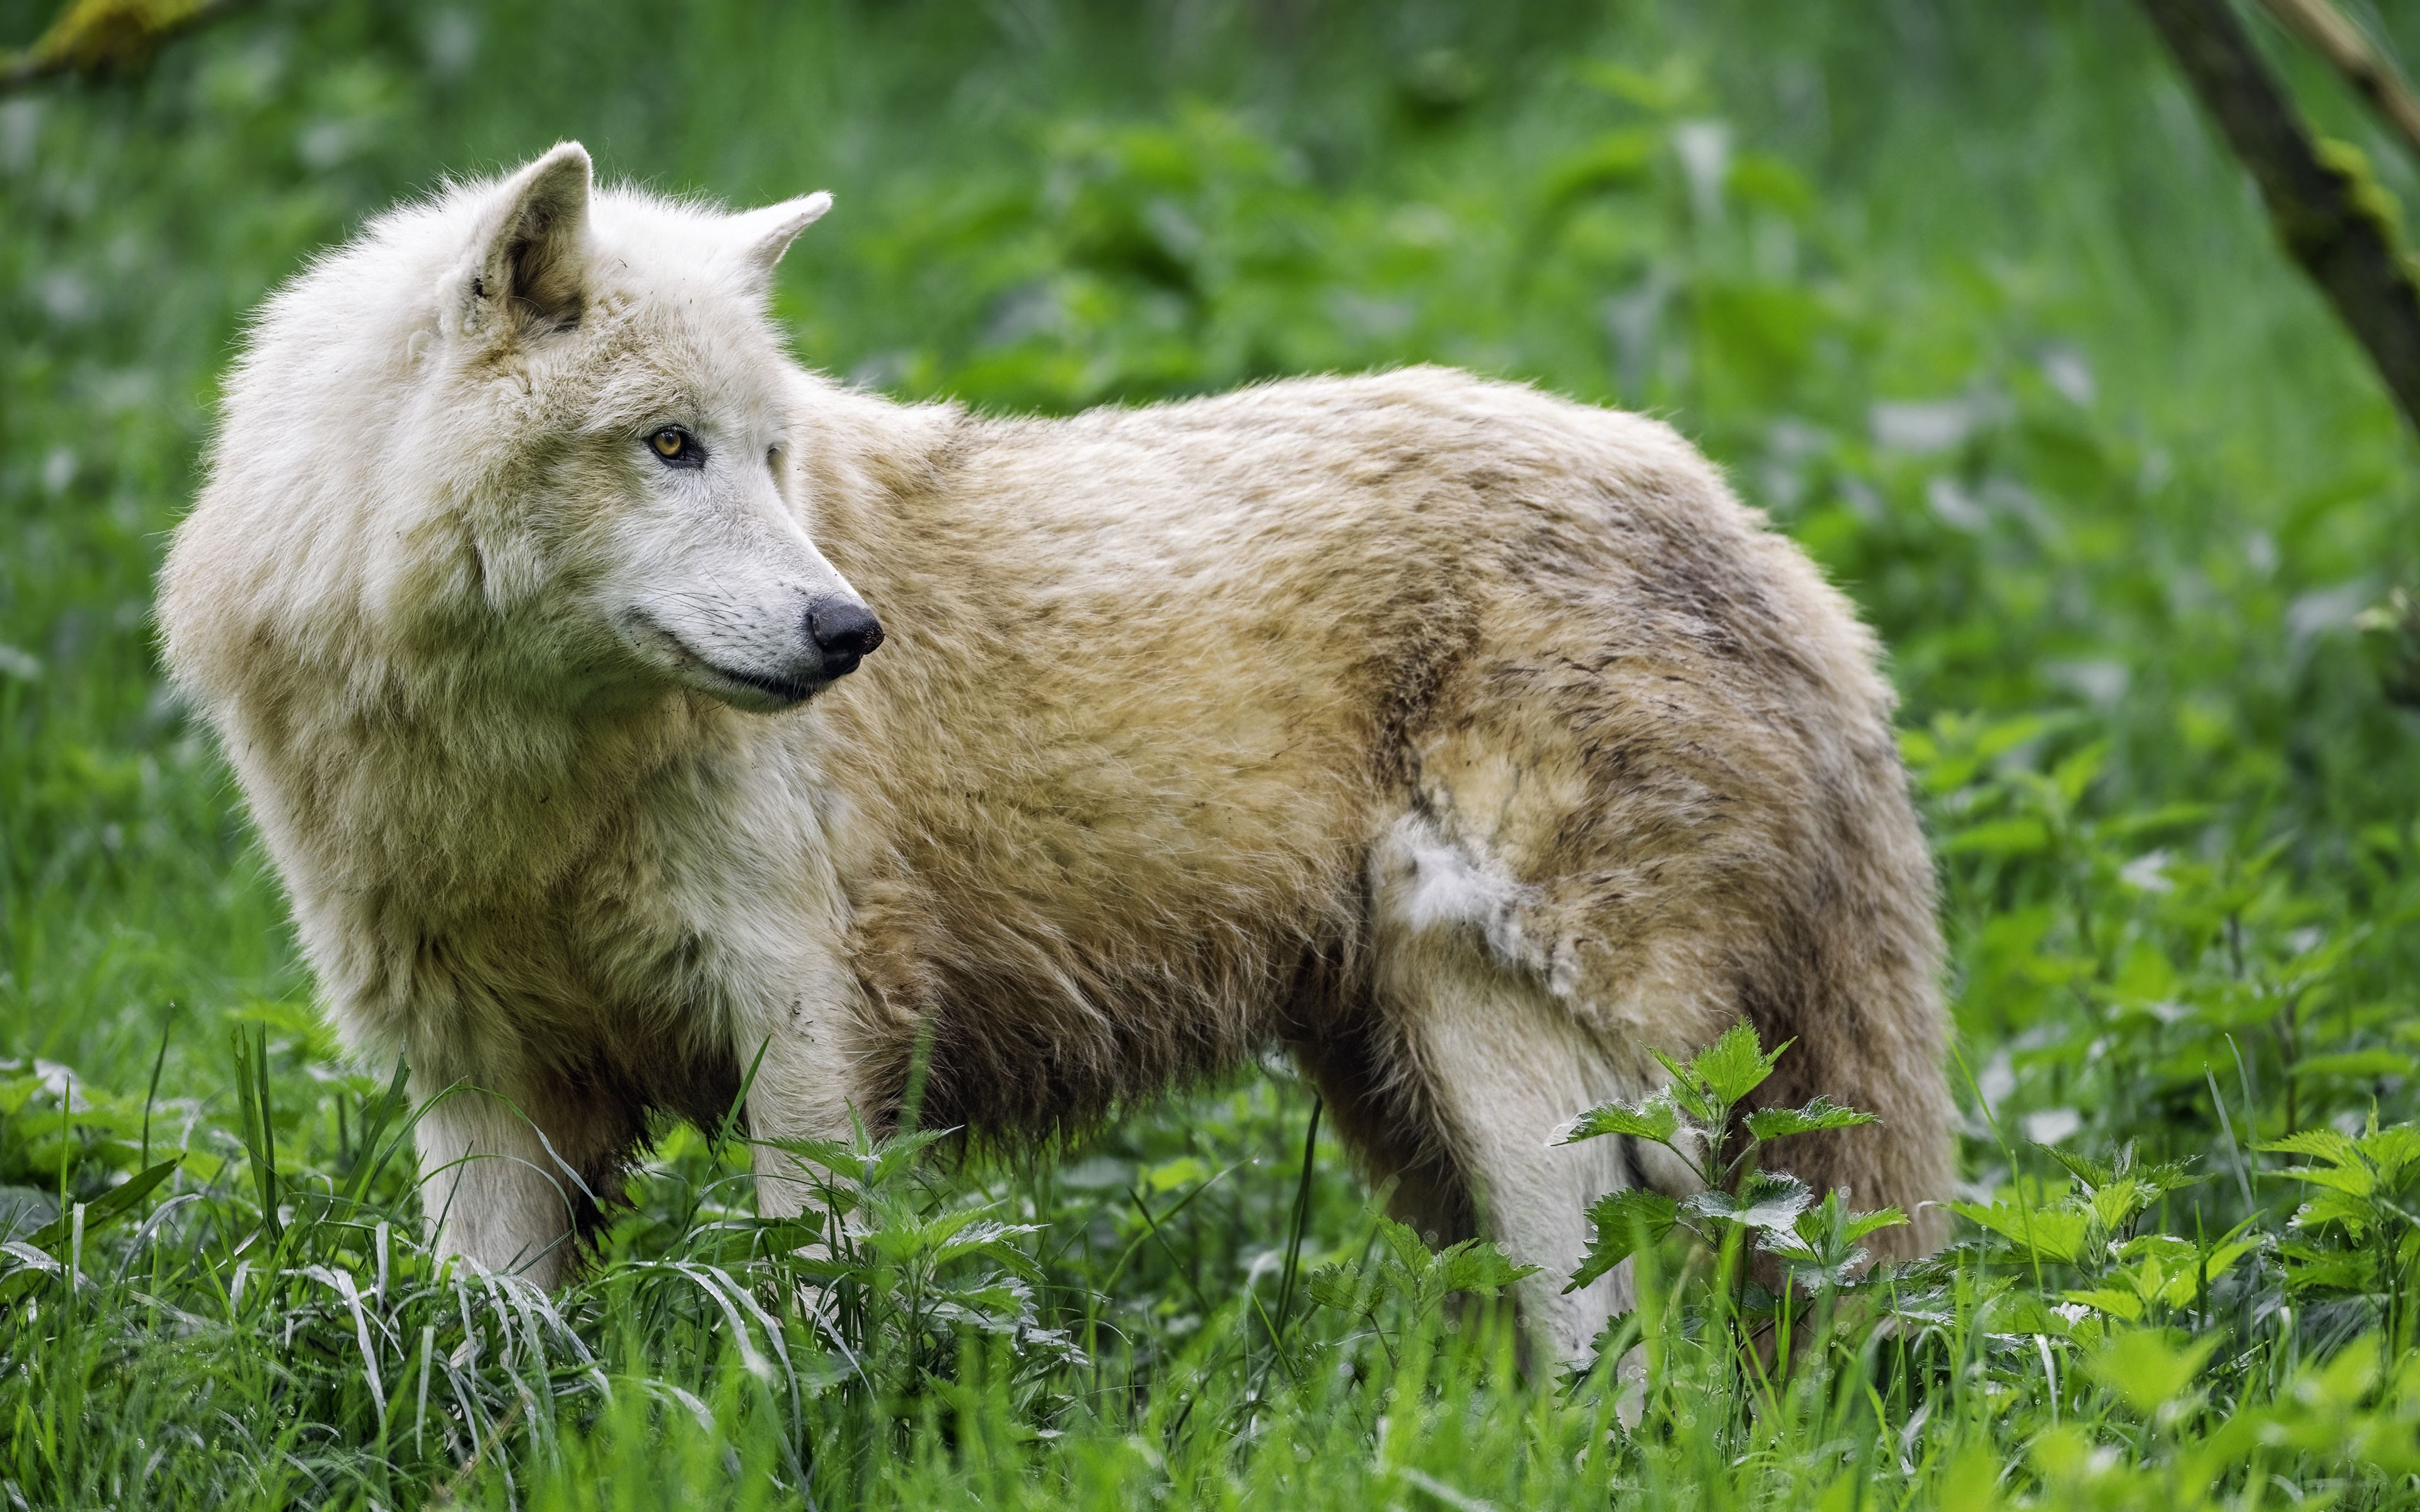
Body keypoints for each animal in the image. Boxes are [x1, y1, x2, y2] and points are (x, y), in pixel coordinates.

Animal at [161, 144, 1955, 1354]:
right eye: (668, 448)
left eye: (768, 454)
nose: (849, 633)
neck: (523, 778)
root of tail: (1783, 561)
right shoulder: (479, 1080)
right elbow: (493, 1353)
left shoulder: (804, 1026)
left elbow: (809, 1318)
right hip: (1413, 1109)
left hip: (1514, 1068)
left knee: (1627, 1366)